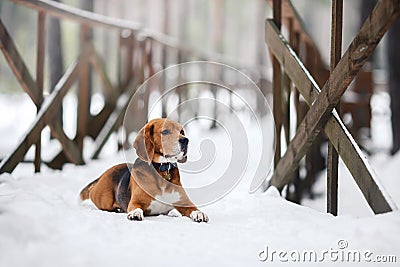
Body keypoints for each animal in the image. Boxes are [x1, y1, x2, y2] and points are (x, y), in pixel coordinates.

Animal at [79, 118, 209, 223]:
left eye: (181, 132)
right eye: (165, 132)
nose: (185, 140)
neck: (162, 168)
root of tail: (106, 172)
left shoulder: (184, 203)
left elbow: (194, 208)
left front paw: (199, 213)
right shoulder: (135, 202)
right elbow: (136, 208)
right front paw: (135, 214)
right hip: (104, 199)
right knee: (91, 191)